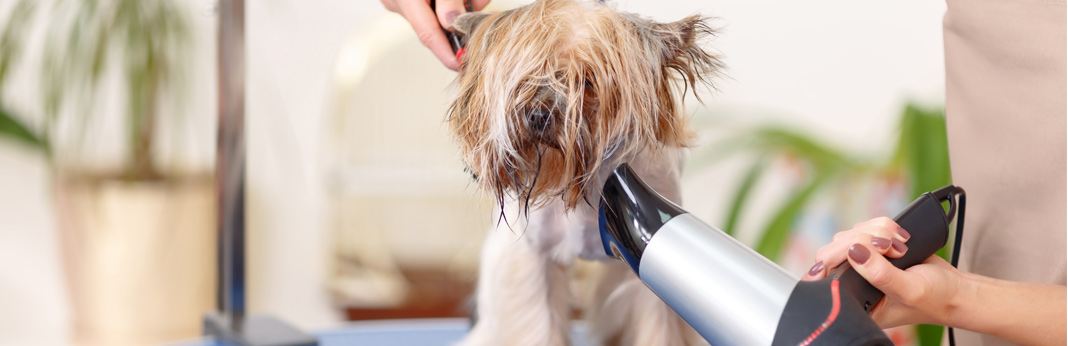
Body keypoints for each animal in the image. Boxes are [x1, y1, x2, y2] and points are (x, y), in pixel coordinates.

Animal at [446, 1, 721, 343]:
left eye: (588, 81)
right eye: (526, 74)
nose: (538, 114)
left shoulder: (648, 261)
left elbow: (660, 327)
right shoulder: (533, 260)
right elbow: (539, 326)